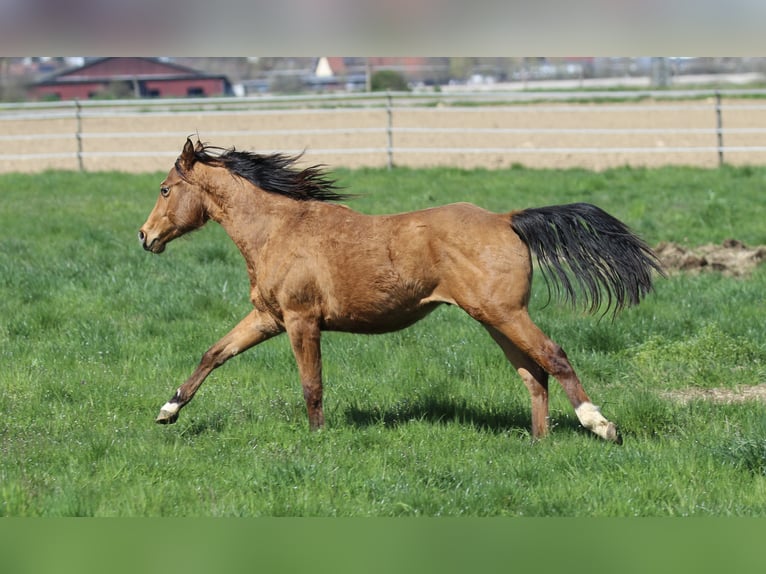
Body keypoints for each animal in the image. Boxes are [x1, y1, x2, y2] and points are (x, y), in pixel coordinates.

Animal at [138, 138, 663, 443]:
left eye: (164, 189)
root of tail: (506, 218)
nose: (145, 237)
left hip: (504, 313)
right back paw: (539, 442)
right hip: (494, 318)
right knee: (532, 373)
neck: (278, 229)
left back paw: (601, 425)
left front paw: (317, 441)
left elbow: (311, 385)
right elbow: (213, 353)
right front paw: (168, 411)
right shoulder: (270, 318)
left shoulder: (302, 320)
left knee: (553, 356)